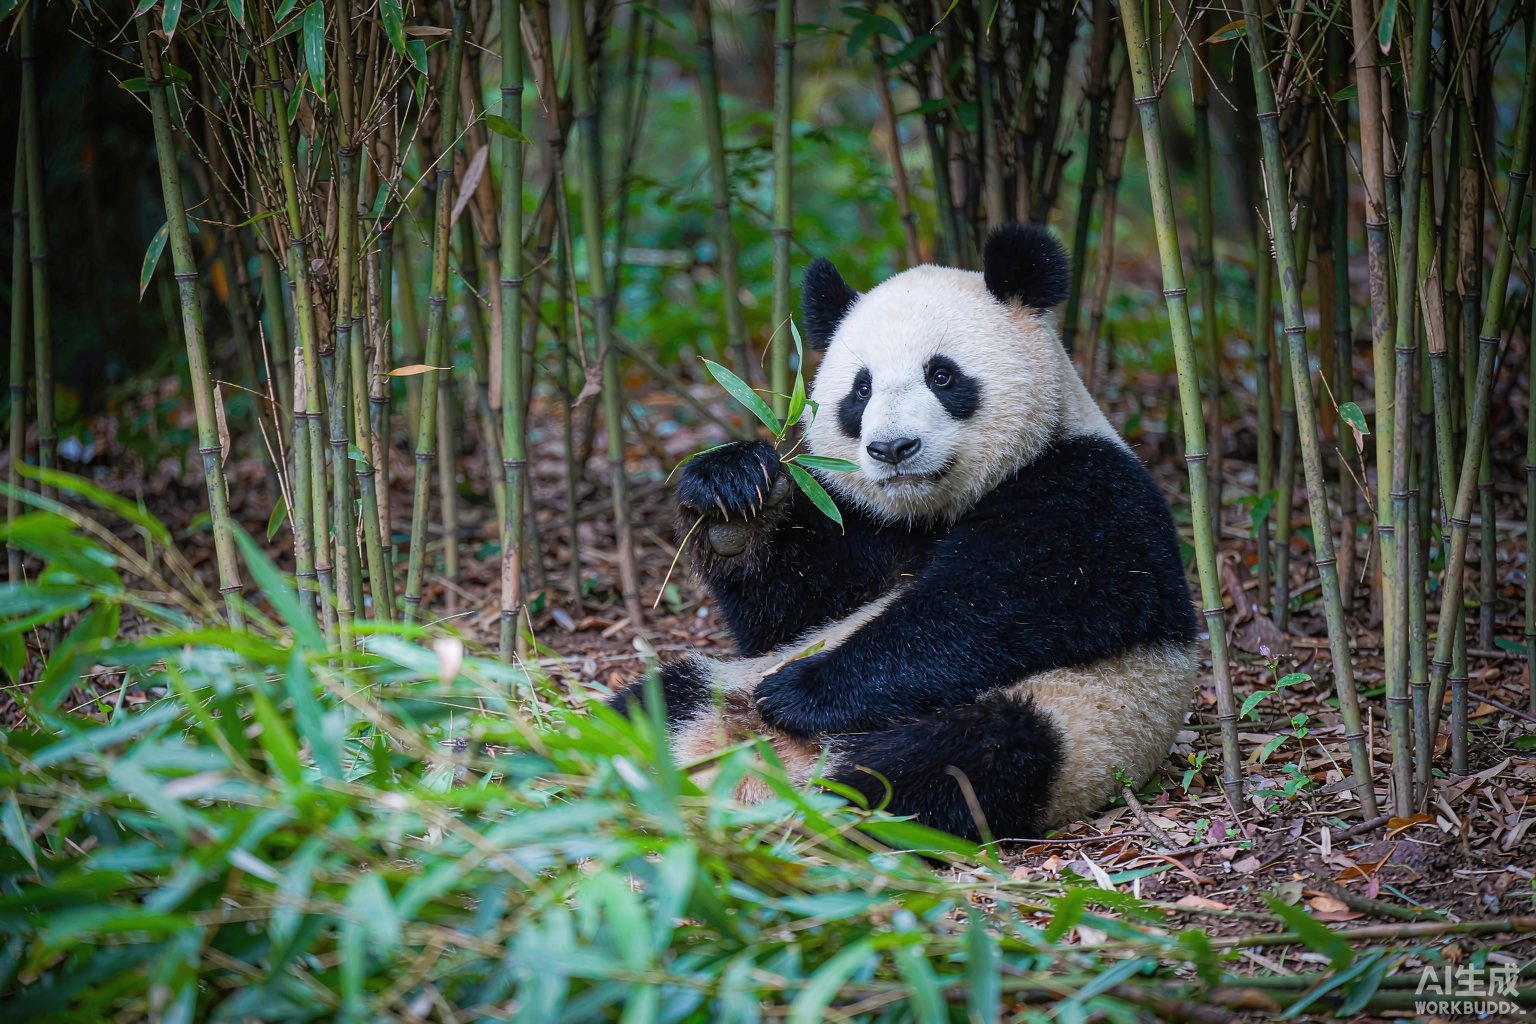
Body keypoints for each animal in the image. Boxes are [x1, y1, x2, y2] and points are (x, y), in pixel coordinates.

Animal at [611, 224, 1200, 842]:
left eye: (941, 376)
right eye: (861, 390)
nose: (893, 448)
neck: (933, 510)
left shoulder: (1091, 490)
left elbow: (1006, 604)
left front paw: (803, 690)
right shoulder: (864, 524)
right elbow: (787, 614)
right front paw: (733, 500)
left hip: (1059, 719)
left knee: (958, 760)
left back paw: (826, 804)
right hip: (717, 684)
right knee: (655, 701)